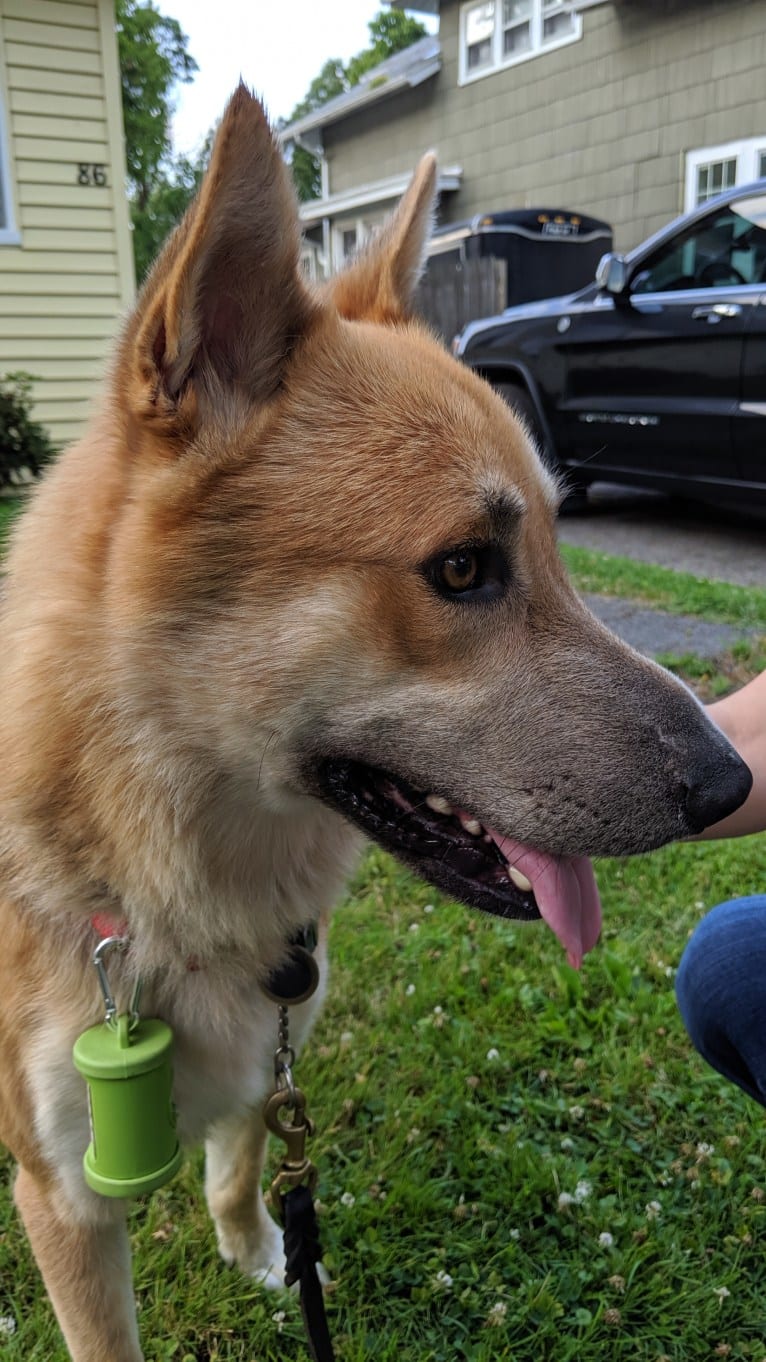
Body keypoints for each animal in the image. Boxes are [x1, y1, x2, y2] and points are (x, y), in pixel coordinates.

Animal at [0, 90, 752, 1356]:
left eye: (562, 548)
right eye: (460, 569)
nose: (731, 783)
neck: (173, 889)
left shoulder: (272, 1063)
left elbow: (239, 1165)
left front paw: (261, 1252)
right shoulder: (65, 1201)